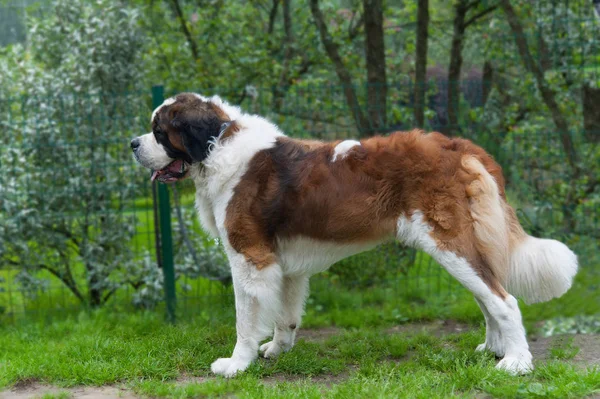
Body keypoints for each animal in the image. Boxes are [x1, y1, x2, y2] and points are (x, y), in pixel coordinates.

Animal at [131, 93, 576, 378]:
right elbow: (286, 316)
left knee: (504, 300)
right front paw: (276, 351)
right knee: (489, 295)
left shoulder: (250, 258)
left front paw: (237, 365)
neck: (216, 146)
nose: (133, 143)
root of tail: (458, 146)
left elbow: (246, 318)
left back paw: (516, 362)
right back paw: (495, 348)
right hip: (461, 247)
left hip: (449, 243)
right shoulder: (285, 265)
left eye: (160, 131)